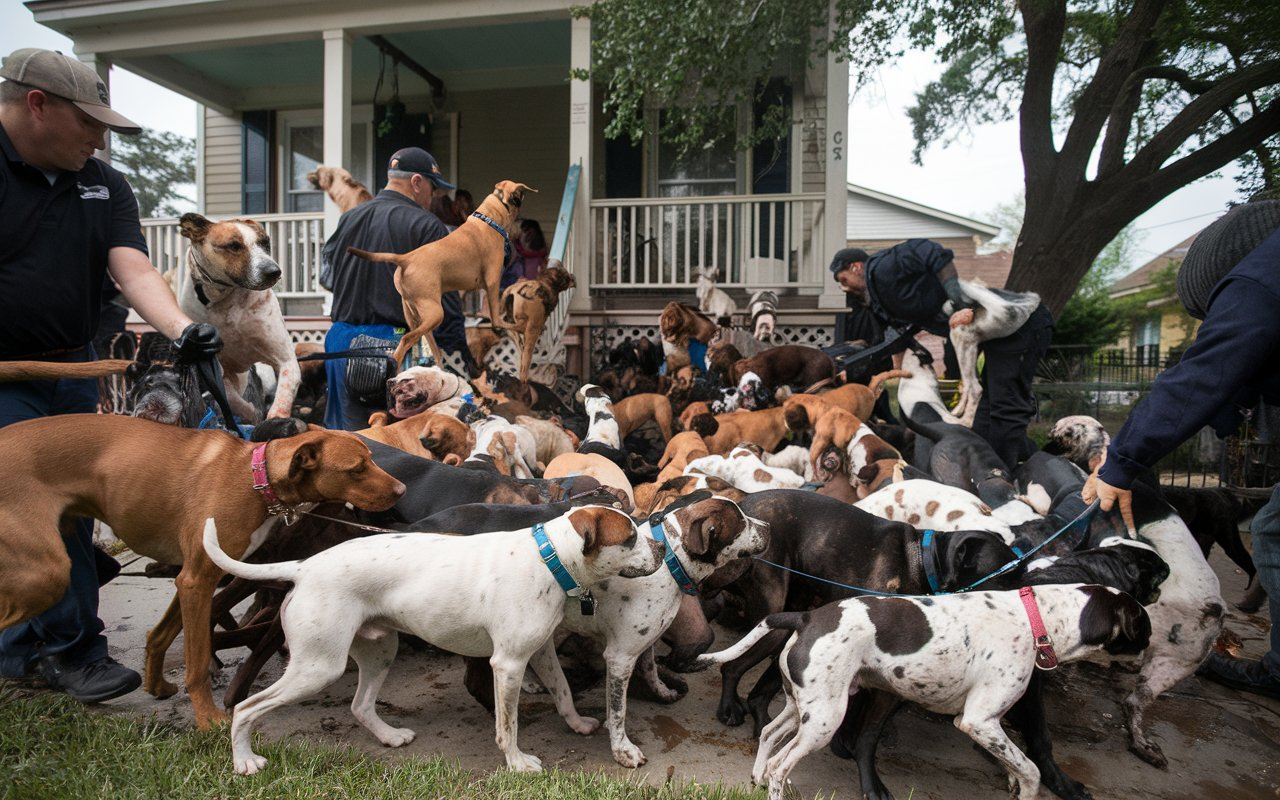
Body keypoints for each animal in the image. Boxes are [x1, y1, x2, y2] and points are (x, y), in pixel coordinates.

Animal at [0, 417, 404, 732]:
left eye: (371, 459)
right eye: (357, 468)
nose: (402, 489)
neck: (253, 477)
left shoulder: (190, 578)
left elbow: (160, 635)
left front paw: (158, 685)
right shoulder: (198, 580)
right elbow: (196, 660)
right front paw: (207, 719)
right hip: (45, 575)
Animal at [202, 504, 660, 773]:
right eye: (630, 537)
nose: (659, 550)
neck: (549, 559)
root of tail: (304, 566)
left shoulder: (541, 651)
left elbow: (563, 690)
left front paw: (577, 723)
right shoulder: (508, 665)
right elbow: (508, 725)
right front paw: (516, 763)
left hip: (379, 652)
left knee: (360, 704)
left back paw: (389, 737)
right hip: (318, 667)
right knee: (246, 707)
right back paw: (244, 761)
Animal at [345, 179, 535, 368]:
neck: (490, 218)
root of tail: (405, 258)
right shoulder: (493, 283)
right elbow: (499, 321)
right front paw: (517, 327)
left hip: (417, 317)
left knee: (432, 351)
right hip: (435, 313)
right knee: (405, 342)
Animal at [696, 581, 1157, 798]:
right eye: (1143, 629)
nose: (1152, 654)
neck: (1035, 617)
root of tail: (805, 617)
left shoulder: (992, 727)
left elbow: (1016, 761)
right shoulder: (978, 721)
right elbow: (1030, 768)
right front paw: (1025, 790)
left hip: (806, 708)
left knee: (770, 736)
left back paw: (757, 777)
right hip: (825, 721)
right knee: (781, 764)